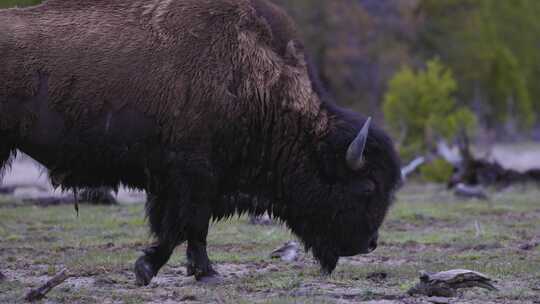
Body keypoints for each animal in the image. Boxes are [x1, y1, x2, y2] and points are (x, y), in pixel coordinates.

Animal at [0, 0, 402, 284]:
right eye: (367, 186)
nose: (370, 243)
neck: (255, 79)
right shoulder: (192, 175)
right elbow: (186, 225)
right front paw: (162, 269)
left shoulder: (187, 182)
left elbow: (188, 228)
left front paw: (192, 269)